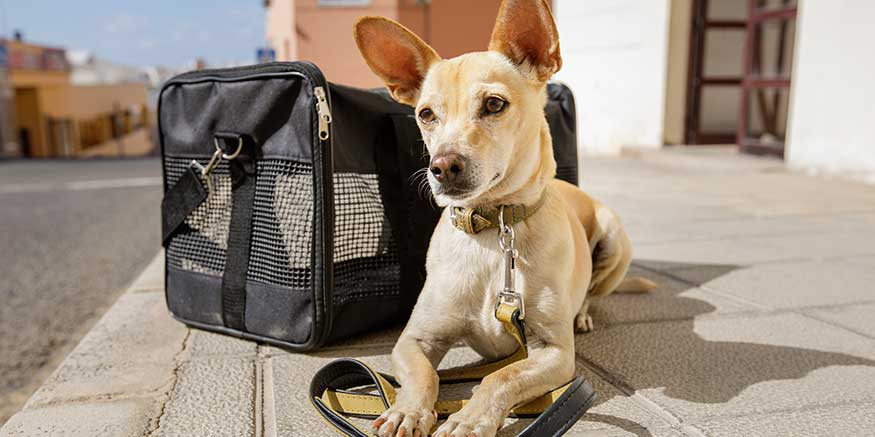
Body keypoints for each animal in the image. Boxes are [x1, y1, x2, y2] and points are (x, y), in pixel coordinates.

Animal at [354, 1, 652, 434]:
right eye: (426, 114)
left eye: (494, 104)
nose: (442, 166)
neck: (493, 229)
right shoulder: (413, 341)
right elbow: (423, 375)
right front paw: (406, 410)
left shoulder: (554, 352)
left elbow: (501, 376)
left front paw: (470, 418)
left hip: (615, 240)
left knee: (593, 294)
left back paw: (582, 314)